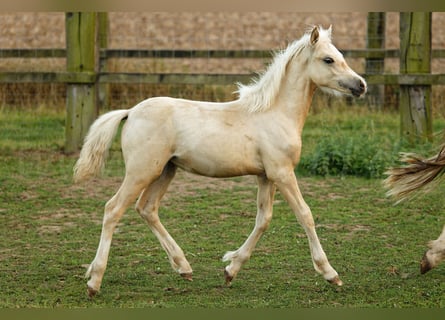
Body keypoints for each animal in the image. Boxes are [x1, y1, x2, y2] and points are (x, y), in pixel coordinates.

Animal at [74, 25, 364, 298]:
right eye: (328, 59)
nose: (361, 85)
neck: (275, 114)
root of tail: (131, 111)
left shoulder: (265, 176)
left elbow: (263, 219)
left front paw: (230, 269)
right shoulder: (282, 173)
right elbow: (305, 215)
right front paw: (330, 273)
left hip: (165, 170)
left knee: (147, 208)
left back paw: (183, 267)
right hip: (141, 172)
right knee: (113, 209)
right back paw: (94, 282)